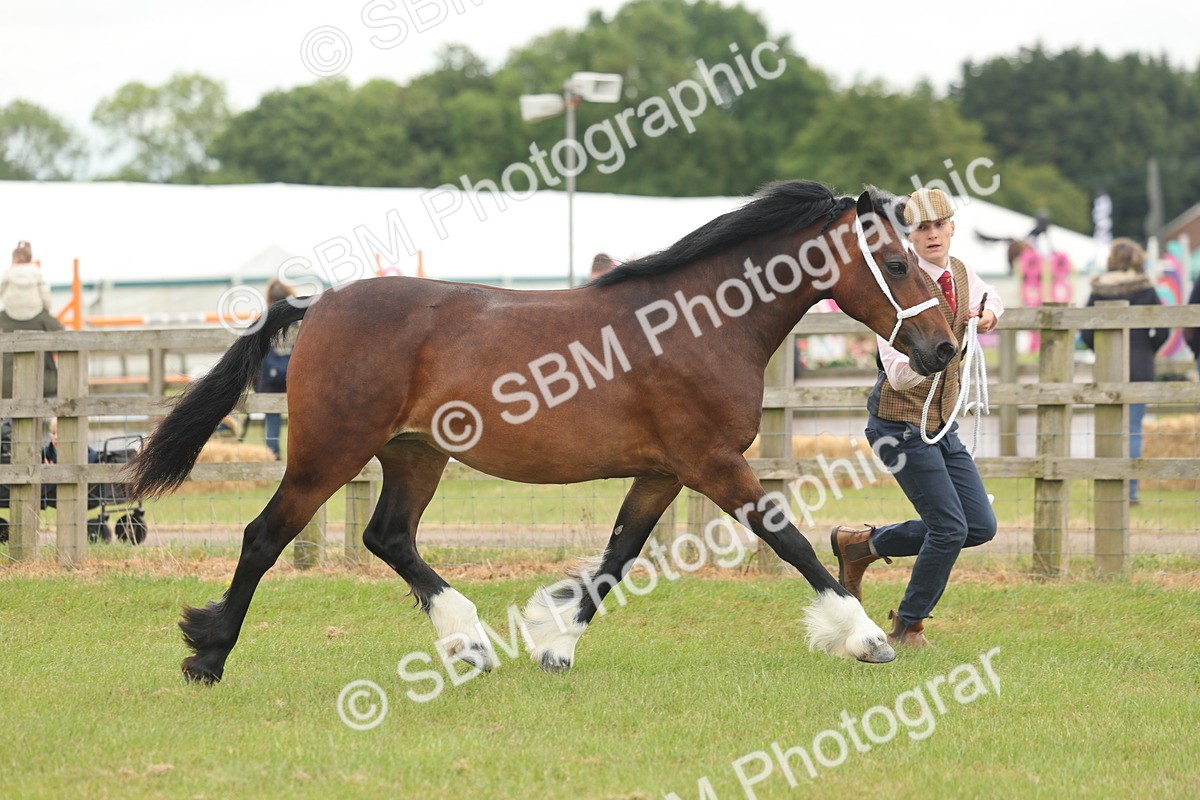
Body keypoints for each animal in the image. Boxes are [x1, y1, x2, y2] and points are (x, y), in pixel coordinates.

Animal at [127, 181, 957, 684]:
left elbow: (617, 557)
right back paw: (208, 655)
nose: (944, 348)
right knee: (265, 537)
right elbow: (790, 542)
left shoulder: (663, 471)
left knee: (388, 537)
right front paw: (865, 637)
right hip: (328, 453)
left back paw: (468, 640)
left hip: (415, 454)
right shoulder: (713, 463)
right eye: (894, 263)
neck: (700, 324)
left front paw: (555, 644)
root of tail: (318, 303)